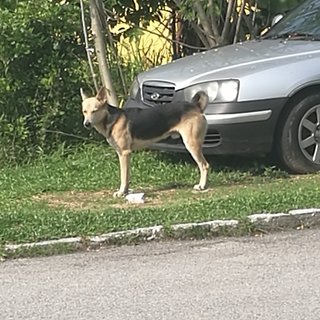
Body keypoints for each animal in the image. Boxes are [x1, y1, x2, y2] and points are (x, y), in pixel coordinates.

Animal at [81, 87, 209, 198]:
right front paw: (126, 191)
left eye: (95, 111)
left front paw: (121, 192)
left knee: (204, 165)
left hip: (191, 144)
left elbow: (123, 176)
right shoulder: (124, 154)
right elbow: (127, 175)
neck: (112, 119)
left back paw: (201, 186)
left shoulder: (124, 153)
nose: (86, 124)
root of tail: (195, 106)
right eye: (84, 111)